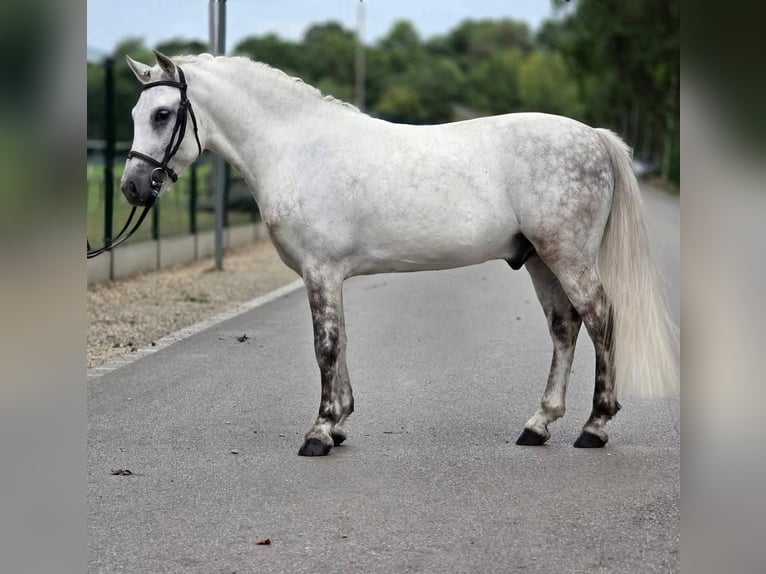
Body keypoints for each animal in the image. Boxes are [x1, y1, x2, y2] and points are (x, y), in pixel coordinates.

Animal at [121, 50, 678, 456]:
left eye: (163, 114)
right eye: (134, 114)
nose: (131, 187)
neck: (297, 149)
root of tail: (594, 136)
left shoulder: (320, 272)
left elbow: (326, 346)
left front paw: (319, 432)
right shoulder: (329, 275)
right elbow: (340, 342)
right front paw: (339, 423)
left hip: (568, 257)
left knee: (601, 319)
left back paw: (595, 426)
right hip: (541, 260)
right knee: (565, 328)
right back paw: (538, 425)